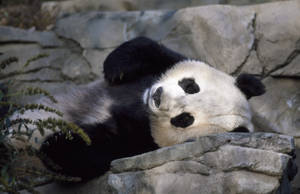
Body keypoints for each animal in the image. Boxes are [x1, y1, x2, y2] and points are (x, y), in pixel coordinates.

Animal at [8, 36, 264, 180]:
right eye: (191, 86)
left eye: (184, 119)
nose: (158, 97)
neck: (141, 105)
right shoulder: (165, 64)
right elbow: (150, 49)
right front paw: (117, 68)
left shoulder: (143, 144)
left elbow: (99, 150)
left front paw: (54, 146)